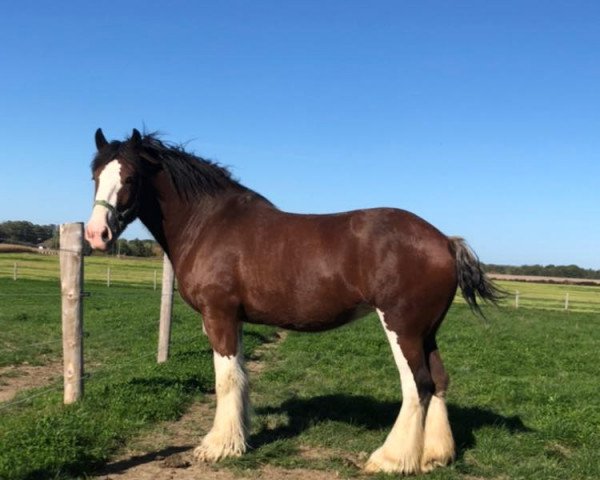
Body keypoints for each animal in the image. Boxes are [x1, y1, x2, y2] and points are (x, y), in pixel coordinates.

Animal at [83, 128, 496, 476]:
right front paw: (239, 439)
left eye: (131, 177)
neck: (209, 223)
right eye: (95, 176)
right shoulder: (235, 319)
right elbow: (241, 377)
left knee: (418, 385)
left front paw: (218, 446)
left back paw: (391, 459)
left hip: (402, 327)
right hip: (427, 331)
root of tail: (445, 241)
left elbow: (225, 379)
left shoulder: (219, 315)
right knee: (439, 380)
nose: (96, 234)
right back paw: (434, 456)